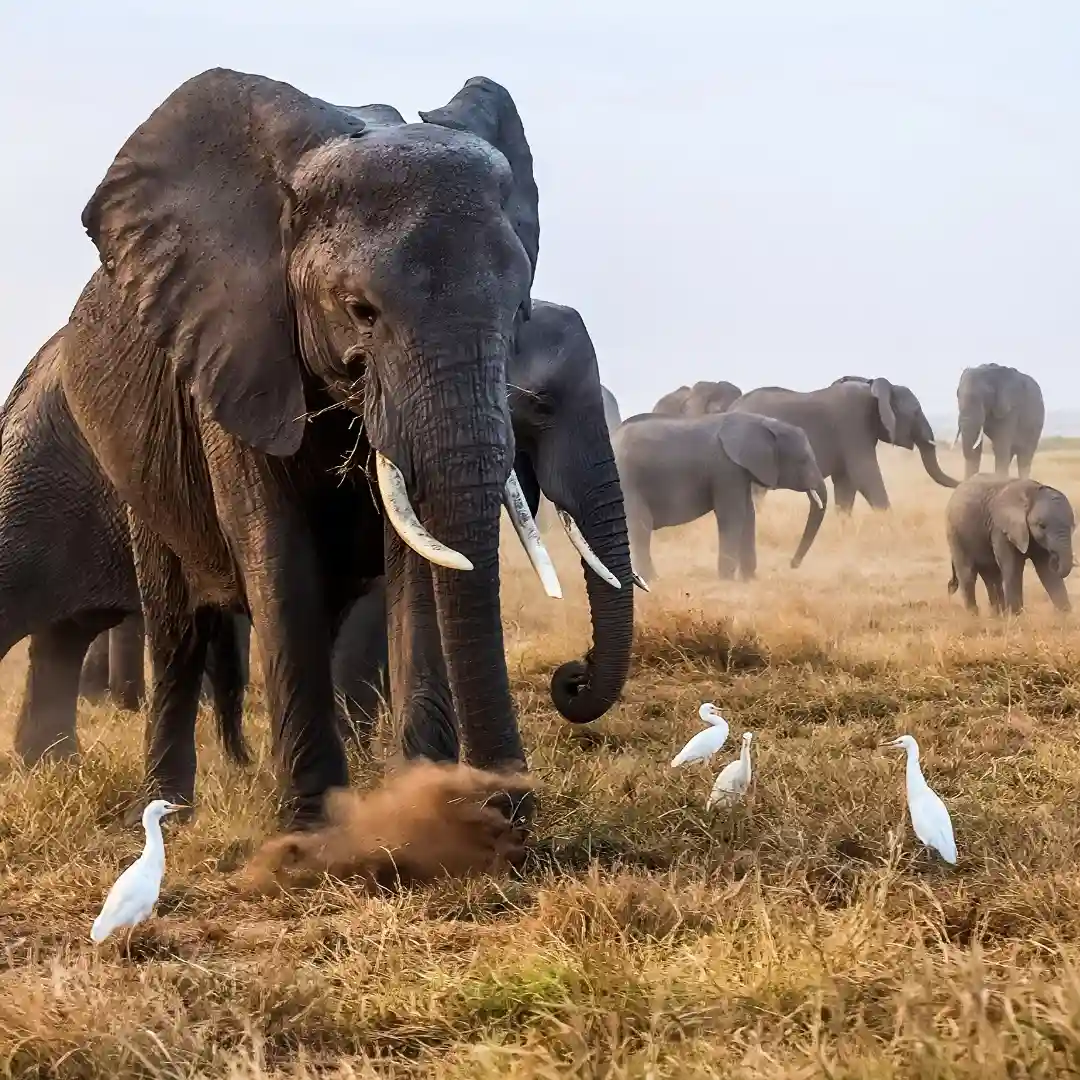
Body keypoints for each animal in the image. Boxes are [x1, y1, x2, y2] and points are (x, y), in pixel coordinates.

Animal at [45, 67, 601, 828]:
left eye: (518, 311)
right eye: (361, 311)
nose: (507, 804)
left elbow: (416, 560)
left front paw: (421, 807)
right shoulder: (233, 348)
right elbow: (277, 552)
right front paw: (310, 826)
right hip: (138, 471)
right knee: (178, 628)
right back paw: (167, 814)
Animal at [611, 411, 828, 581]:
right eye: (803, 460)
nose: (792, 564)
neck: (762, 422)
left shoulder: (740, 471)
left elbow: (748, 515)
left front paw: (749, 580)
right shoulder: (726, 468)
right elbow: (733, 516)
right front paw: (727, 580)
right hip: (628, 480)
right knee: (640, 525)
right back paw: (652, 580)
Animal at [946, 476, 1074, 614]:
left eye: (1073, 526)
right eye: (1042, 526)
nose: (1055, 557)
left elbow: (1046, 570)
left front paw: (1065, 616)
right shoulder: (1001, 529)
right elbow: (1014, 567)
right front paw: (1016, 616)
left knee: (992, 576)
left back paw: (997, 615)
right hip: (956, 534)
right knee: (968, 574)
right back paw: (973, 615)